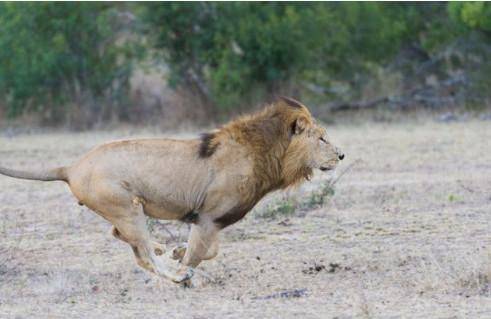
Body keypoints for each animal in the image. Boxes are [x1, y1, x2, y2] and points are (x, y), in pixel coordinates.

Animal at [0, 97, 344, 284]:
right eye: (321, 138)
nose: (341, 156)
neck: (267, 154)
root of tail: (72, 167)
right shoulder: (208, 217)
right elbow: (198, 254)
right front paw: (183, 269)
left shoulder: (210, 220)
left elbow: (209, 250)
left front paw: (177, 251)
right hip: (127, 208)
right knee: (143, 255)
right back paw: (175, 277)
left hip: (124, 211)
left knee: (128, 242)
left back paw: (163, 252)